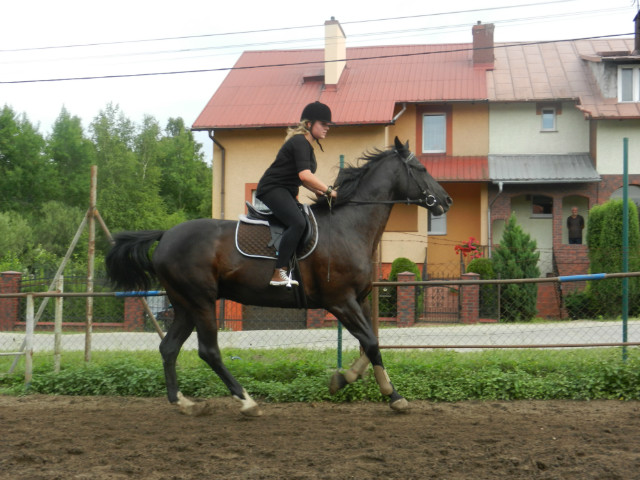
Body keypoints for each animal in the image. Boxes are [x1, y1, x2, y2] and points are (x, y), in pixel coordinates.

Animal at [106, 137, 450, 414]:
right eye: (420, 168)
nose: (446, 200)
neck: (348, 227)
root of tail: (166, 235)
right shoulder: (340, 302)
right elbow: (371, 342)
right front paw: (386, 393)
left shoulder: (359, 300)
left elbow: (371, 343)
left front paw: (350, 380)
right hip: (200, 301)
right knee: (209, 351)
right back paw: (246, 401)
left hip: (184, 305)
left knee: (169, 348)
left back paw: (183, 402)